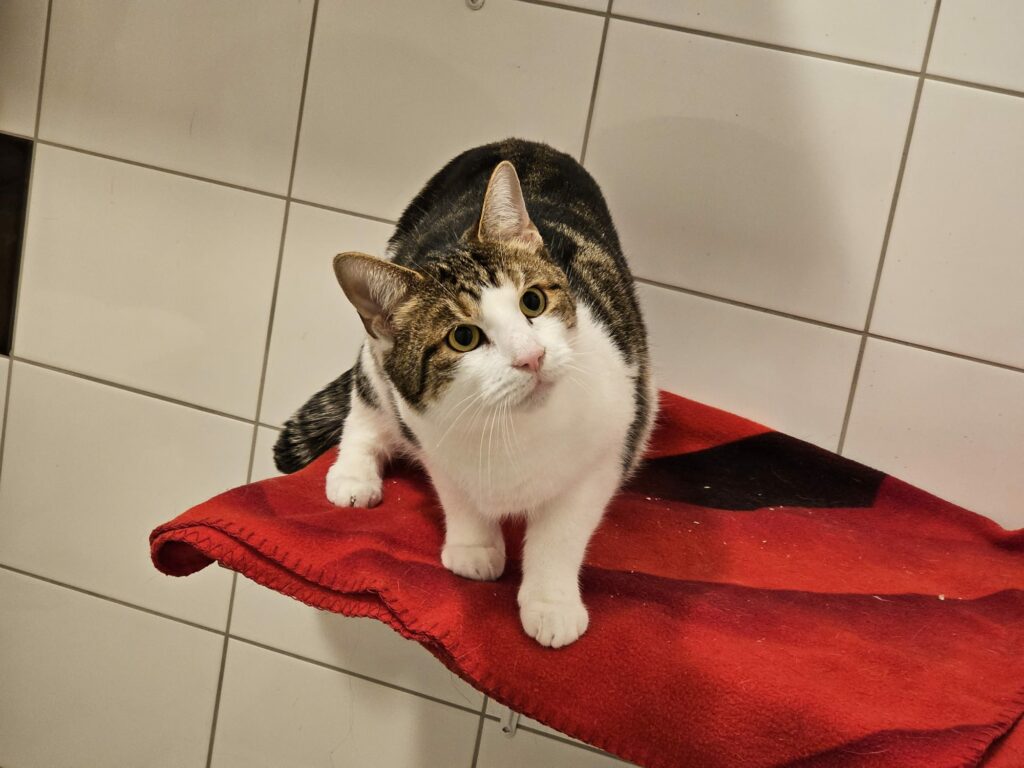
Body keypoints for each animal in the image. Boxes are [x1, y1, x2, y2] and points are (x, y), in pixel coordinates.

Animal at [274, 138, 655, 648]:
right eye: (463, 338)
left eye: (532, 301)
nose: (531, 356)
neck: (516, 424)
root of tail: (516, 142)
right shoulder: (427, 434)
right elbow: (457, 493)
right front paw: (474, 546)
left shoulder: (610, 445)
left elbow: (561, 531)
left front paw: (550, 603)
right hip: (376, 360)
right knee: (366, 402)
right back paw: (354, 474)